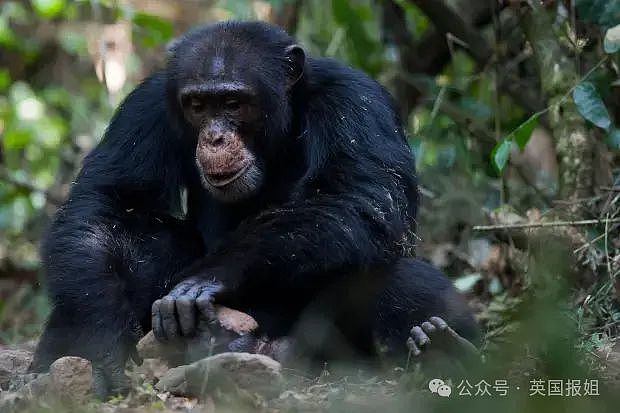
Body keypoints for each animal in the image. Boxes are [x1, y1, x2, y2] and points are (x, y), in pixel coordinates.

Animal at [30, 21, 480, 396]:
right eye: (197, 106)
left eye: (233, 103)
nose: (213, 137)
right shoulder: (147, 105)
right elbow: (108, 204)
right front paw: (97, 345)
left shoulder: (356, 102)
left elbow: (361, 197)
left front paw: (209, 277)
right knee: (144, 240)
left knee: (401, 276)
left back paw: (450, 350)